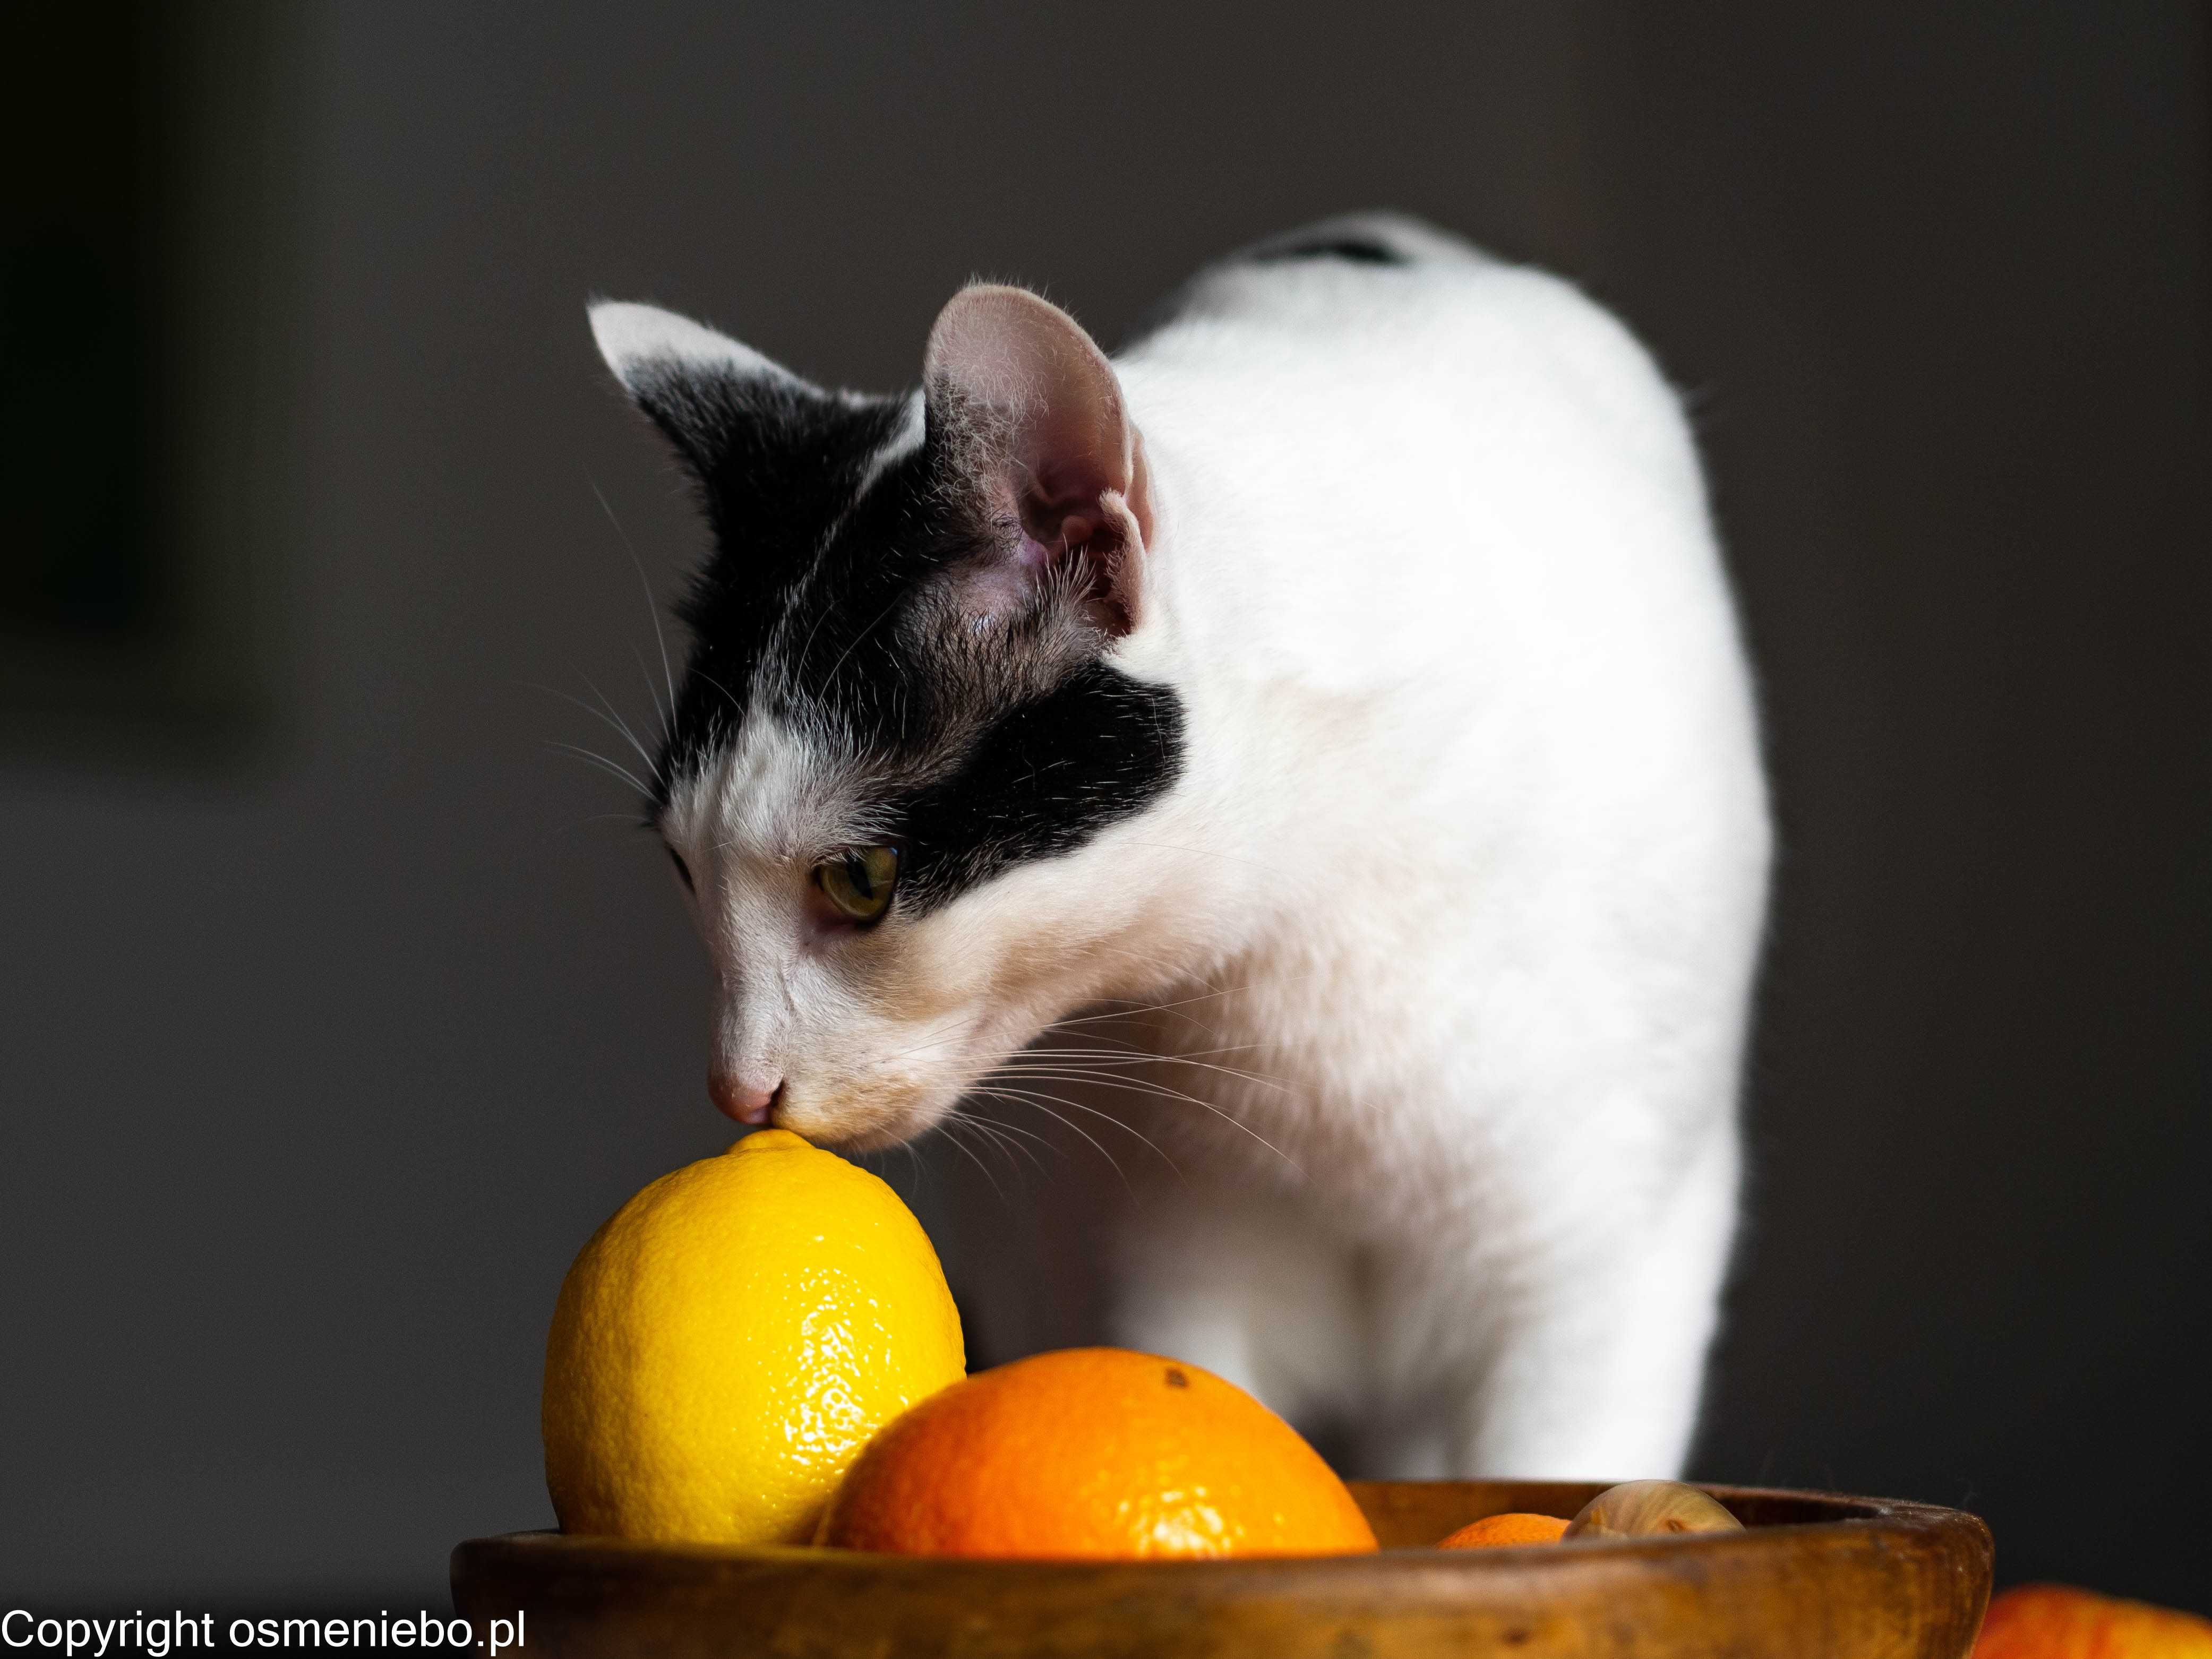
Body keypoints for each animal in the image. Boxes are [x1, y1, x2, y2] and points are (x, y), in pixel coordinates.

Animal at [597, 211, 1769, 1477]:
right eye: (682, 868)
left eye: (860, 880)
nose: (735, 1087)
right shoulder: (1163, 1251)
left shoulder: (1597, 1265)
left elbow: (1550, 1482)